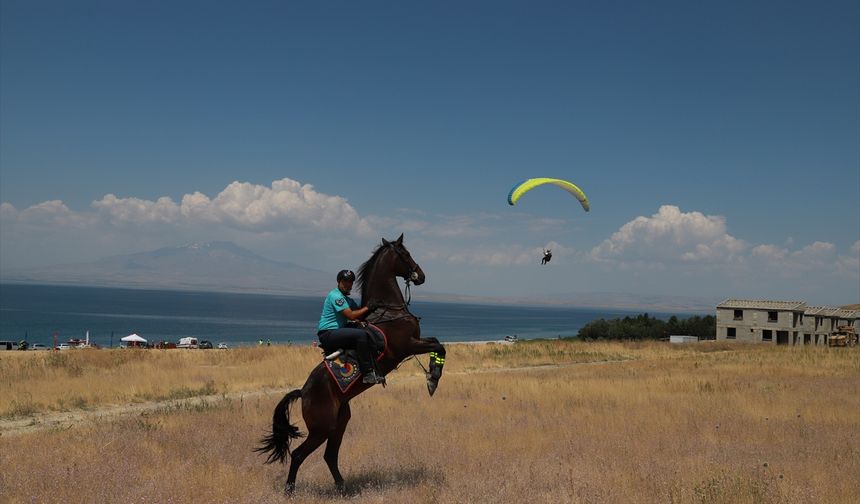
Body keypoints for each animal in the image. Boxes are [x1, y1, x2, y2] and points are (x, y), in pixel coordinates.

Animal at [255, 234, 446, 494]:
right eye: (406, 254)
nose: (422, 275)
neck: (388, 310)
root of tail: (303, 392)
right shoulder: (406, 345)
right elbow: (439, 345)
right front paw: (432, 379)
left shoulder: (415, 342)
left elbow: (437, 343)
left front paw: (433, 374)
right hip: (322, 428)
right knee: (298, 455)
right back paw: (290, 490)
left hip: (339, 423)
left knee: (330, 456)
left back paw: (342, 488)